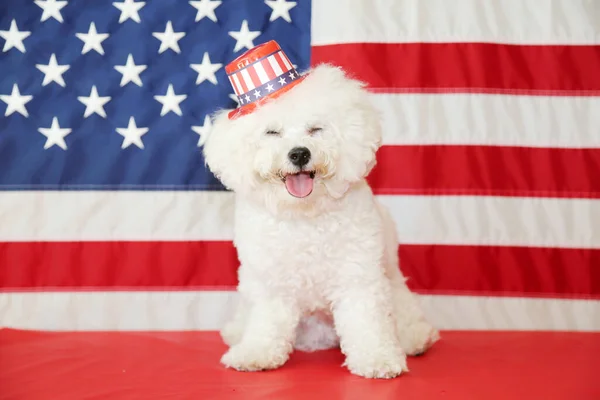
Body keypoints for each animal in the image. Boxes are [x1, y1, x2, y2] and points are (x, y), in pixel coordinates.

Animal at [202, 40, 440, 378]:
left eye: (315, 129)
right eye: (272, 132)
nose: (299, 153)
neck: (304, 215)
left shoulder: (358, 276)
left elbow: (366, 322)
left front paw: (377, 358)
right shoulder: (271, 284)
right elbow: (266, 323)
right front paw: (256, 353)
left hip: (392, 281)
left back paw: (415, 338)